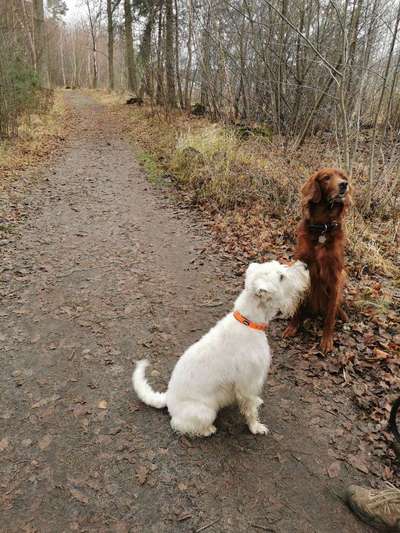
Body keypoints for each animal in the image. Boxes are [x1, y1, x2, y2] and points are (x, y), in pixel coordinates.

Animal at [132, 258, 310, 436]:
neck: (249, 322)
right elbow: (250, 410)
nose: (306, 266)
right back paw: (207, 430)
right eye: (281, 277)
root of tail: (168, 398)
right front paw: (255, 427)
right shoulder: (248, 383)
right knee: (180, 425)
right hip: (205, 412)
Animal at [284, 166, 354, 350]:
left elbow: (330, 314)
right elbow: (299, 305)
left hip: (342, 276)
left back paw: (343, 315)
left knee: (335, 306)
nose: (344, 184)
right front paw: (293, 327)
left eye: (343, 177)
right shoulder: (302, 267)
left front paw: (327, 340)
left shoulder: (335, 275)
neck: (323, 228)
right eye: (326, 177)